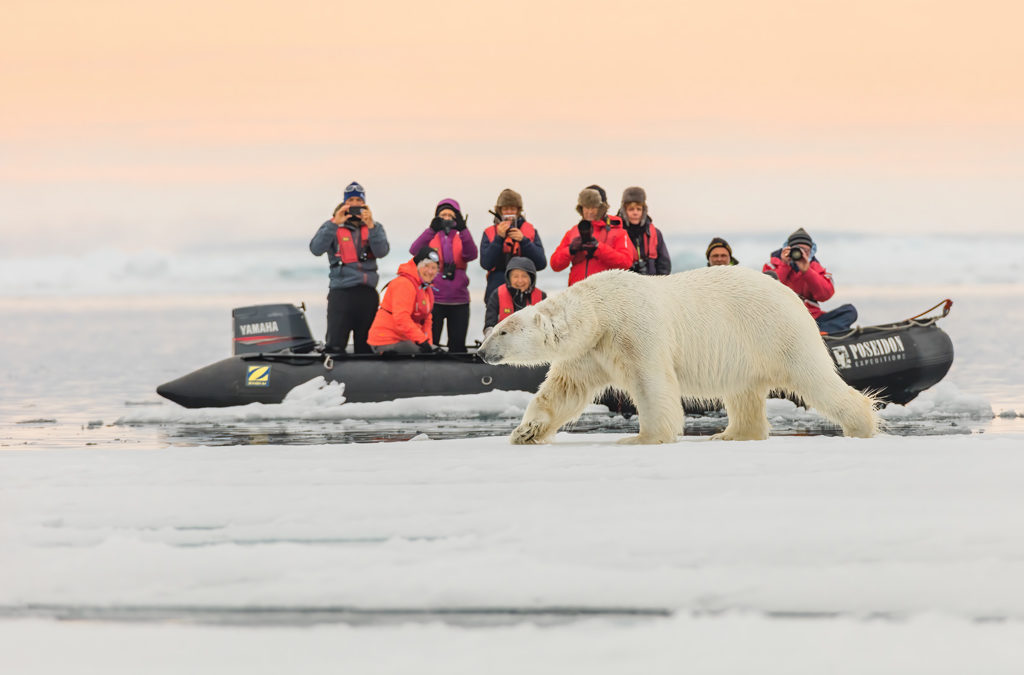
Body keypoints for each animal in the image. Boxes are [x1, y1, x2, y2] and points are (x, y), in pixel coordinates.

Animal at [475, 266, 876, 446]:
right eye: (493, 329)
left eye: (503, 331)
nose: (480, 352)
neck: (600, 309)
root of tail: (794, 298)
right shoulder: (591, 349)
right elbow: (563, 390)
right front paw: (525, 431)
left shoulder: (634, 330)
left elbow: (652, 383)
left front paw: (642, 438)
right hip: (745, 352)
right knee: (743, 393)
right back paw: (731, 435)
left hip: (777, 333)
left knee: (815, 379)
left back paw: (861, 425)